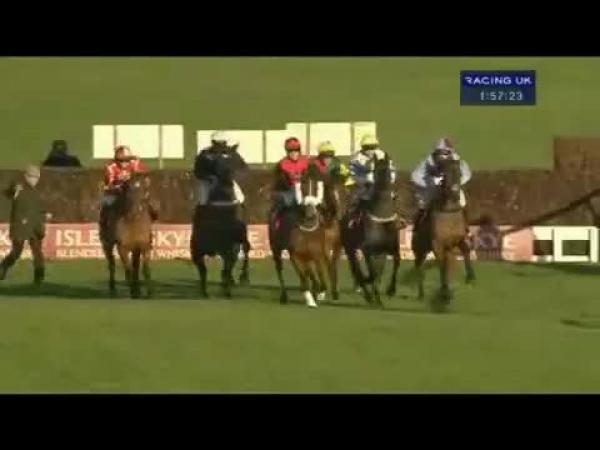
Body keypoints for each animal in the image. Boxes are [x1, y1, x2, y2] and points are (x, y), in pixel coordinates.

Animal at [340, 156, 402, 308]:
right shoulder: (367, 249)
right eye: (374, 169)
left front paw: (391, 290)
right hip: (350, 247)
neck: (382, 214)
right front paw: (368, 282)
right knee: (356, 268)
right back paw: (369, 295)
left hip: (379, 253)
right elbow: (372, 273)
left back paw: (376, 297)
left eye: (390, 168)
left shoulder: (390, 248)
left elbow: (396, 262)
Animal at [410, 157, 475, 311]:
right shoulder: (437, 244)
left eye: (459, 173)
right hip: (420, 250)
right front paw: (445, 293)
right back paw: (422, 294)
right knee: (419, 267)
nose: (455, 192)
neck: (448, 211)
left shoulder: (458, 239)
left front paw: (470, 277)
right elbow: (442, 266)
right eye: (445, 174)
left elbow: (466, 250)